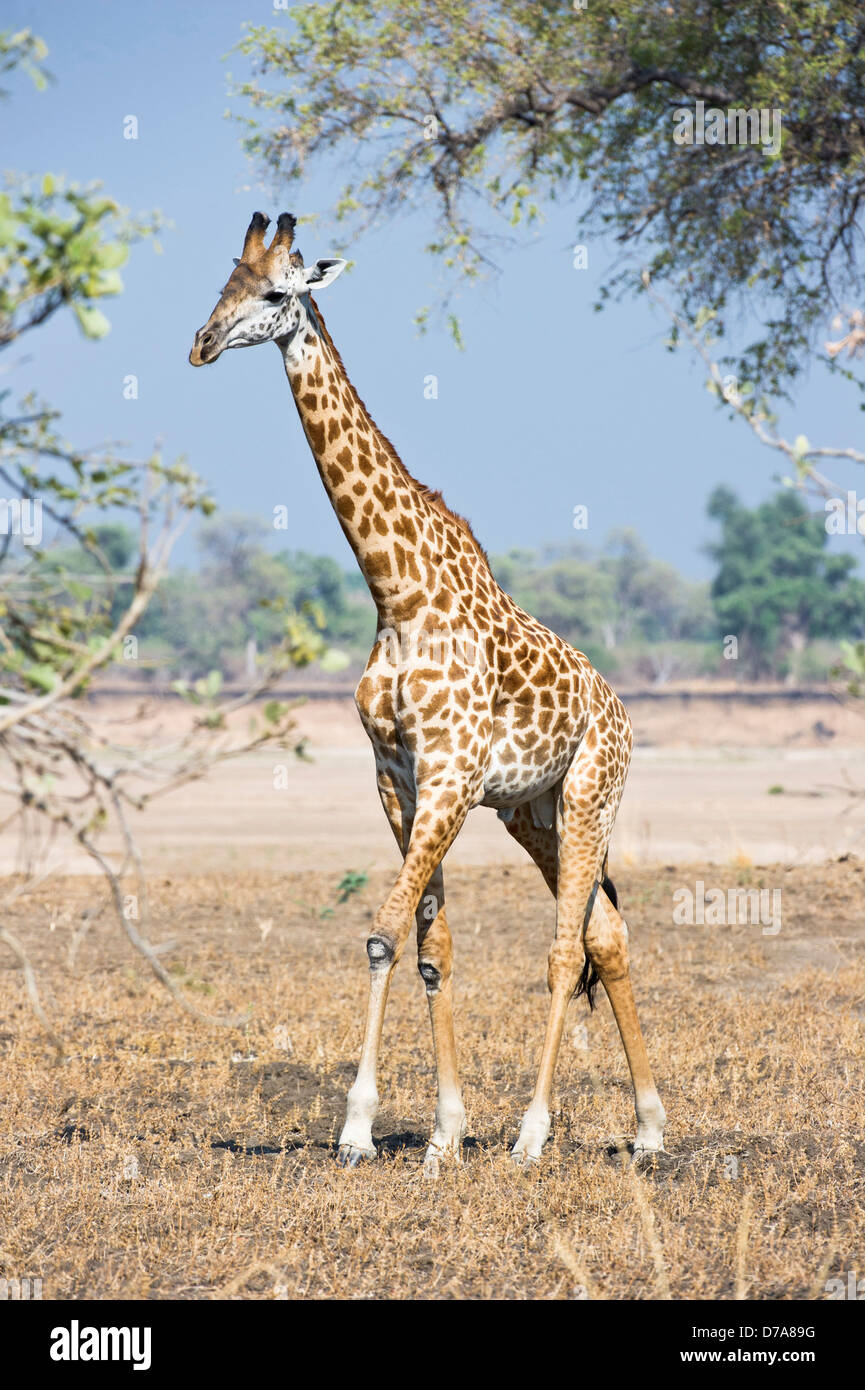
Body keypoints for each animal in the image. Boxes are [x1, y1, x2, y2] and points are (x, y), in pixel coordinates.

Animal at [187, 211, 664, 1173]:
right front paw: (443, 1132)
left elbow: (379, 932)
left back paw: (533, 1133)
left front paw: (356, 1130)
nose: (202, 343)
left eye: (276, 291)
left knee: (565, 949)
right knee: (604, 934)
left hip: (591, 793)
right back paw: (646, 1129)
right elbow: (430, 945)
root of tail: (619, 709)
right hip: (533, 812)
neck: (396, 591)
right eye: (221, 285)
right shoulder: (399, 780)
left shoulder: (448, 777)